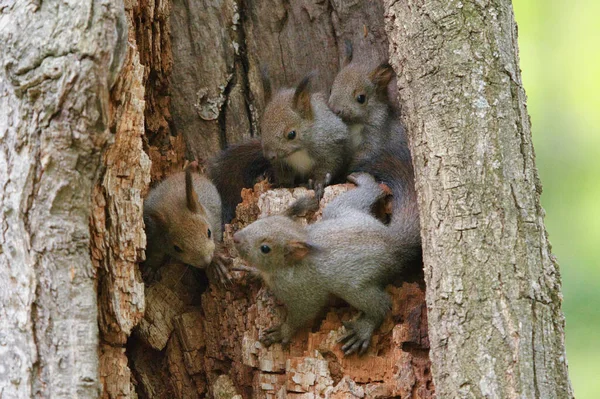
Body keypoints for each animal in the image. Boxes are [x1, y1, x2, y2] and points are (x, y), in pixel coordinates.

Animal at [209, 73, 354, 223]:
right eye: (262, 128)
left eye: (292, 134)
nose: (269, 155)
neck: (298, 151)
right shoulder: (282, 163)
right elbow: (284, 175)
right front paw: (281, 184)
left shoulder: (329, 149)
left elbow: (326, 168)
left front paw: (318, 184)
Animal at [232, 170, 420, 358]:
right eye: (260, 221)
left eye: (265, 248)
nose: (235, 238)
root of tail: (392, 241)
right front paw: (252, 271)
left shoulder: (303, 292)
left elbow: (302, 314)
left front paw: (282, 332)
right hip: (342, 210)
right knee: (369, 193)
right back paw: (365, 182)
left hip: (354, 287)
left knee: (382, 304)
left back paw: (363, 330)